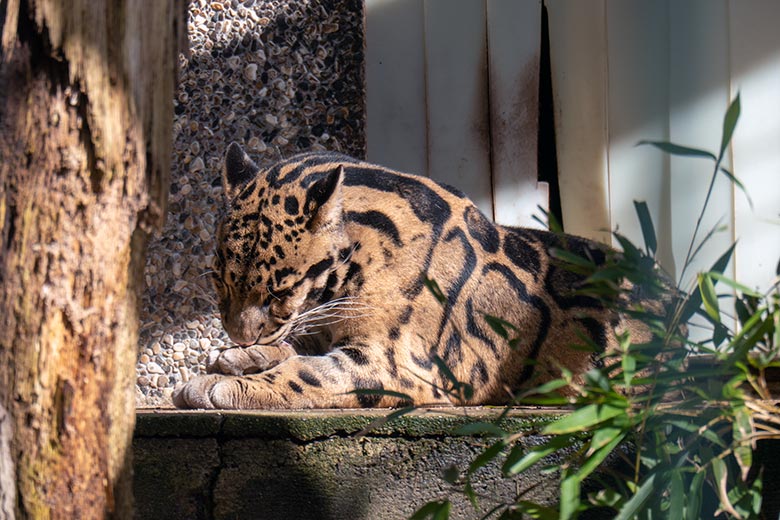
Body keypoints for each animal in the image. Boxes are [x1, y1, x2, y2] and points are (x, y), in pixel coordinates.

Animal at [172, 143, 664, 410]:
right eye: (218, 281)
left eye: (280, 291)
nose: (241, 337)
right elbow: (298, 347)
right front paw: (244, 358)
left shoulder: (403, 364)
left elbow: (308, 372)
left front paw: (228, 381)